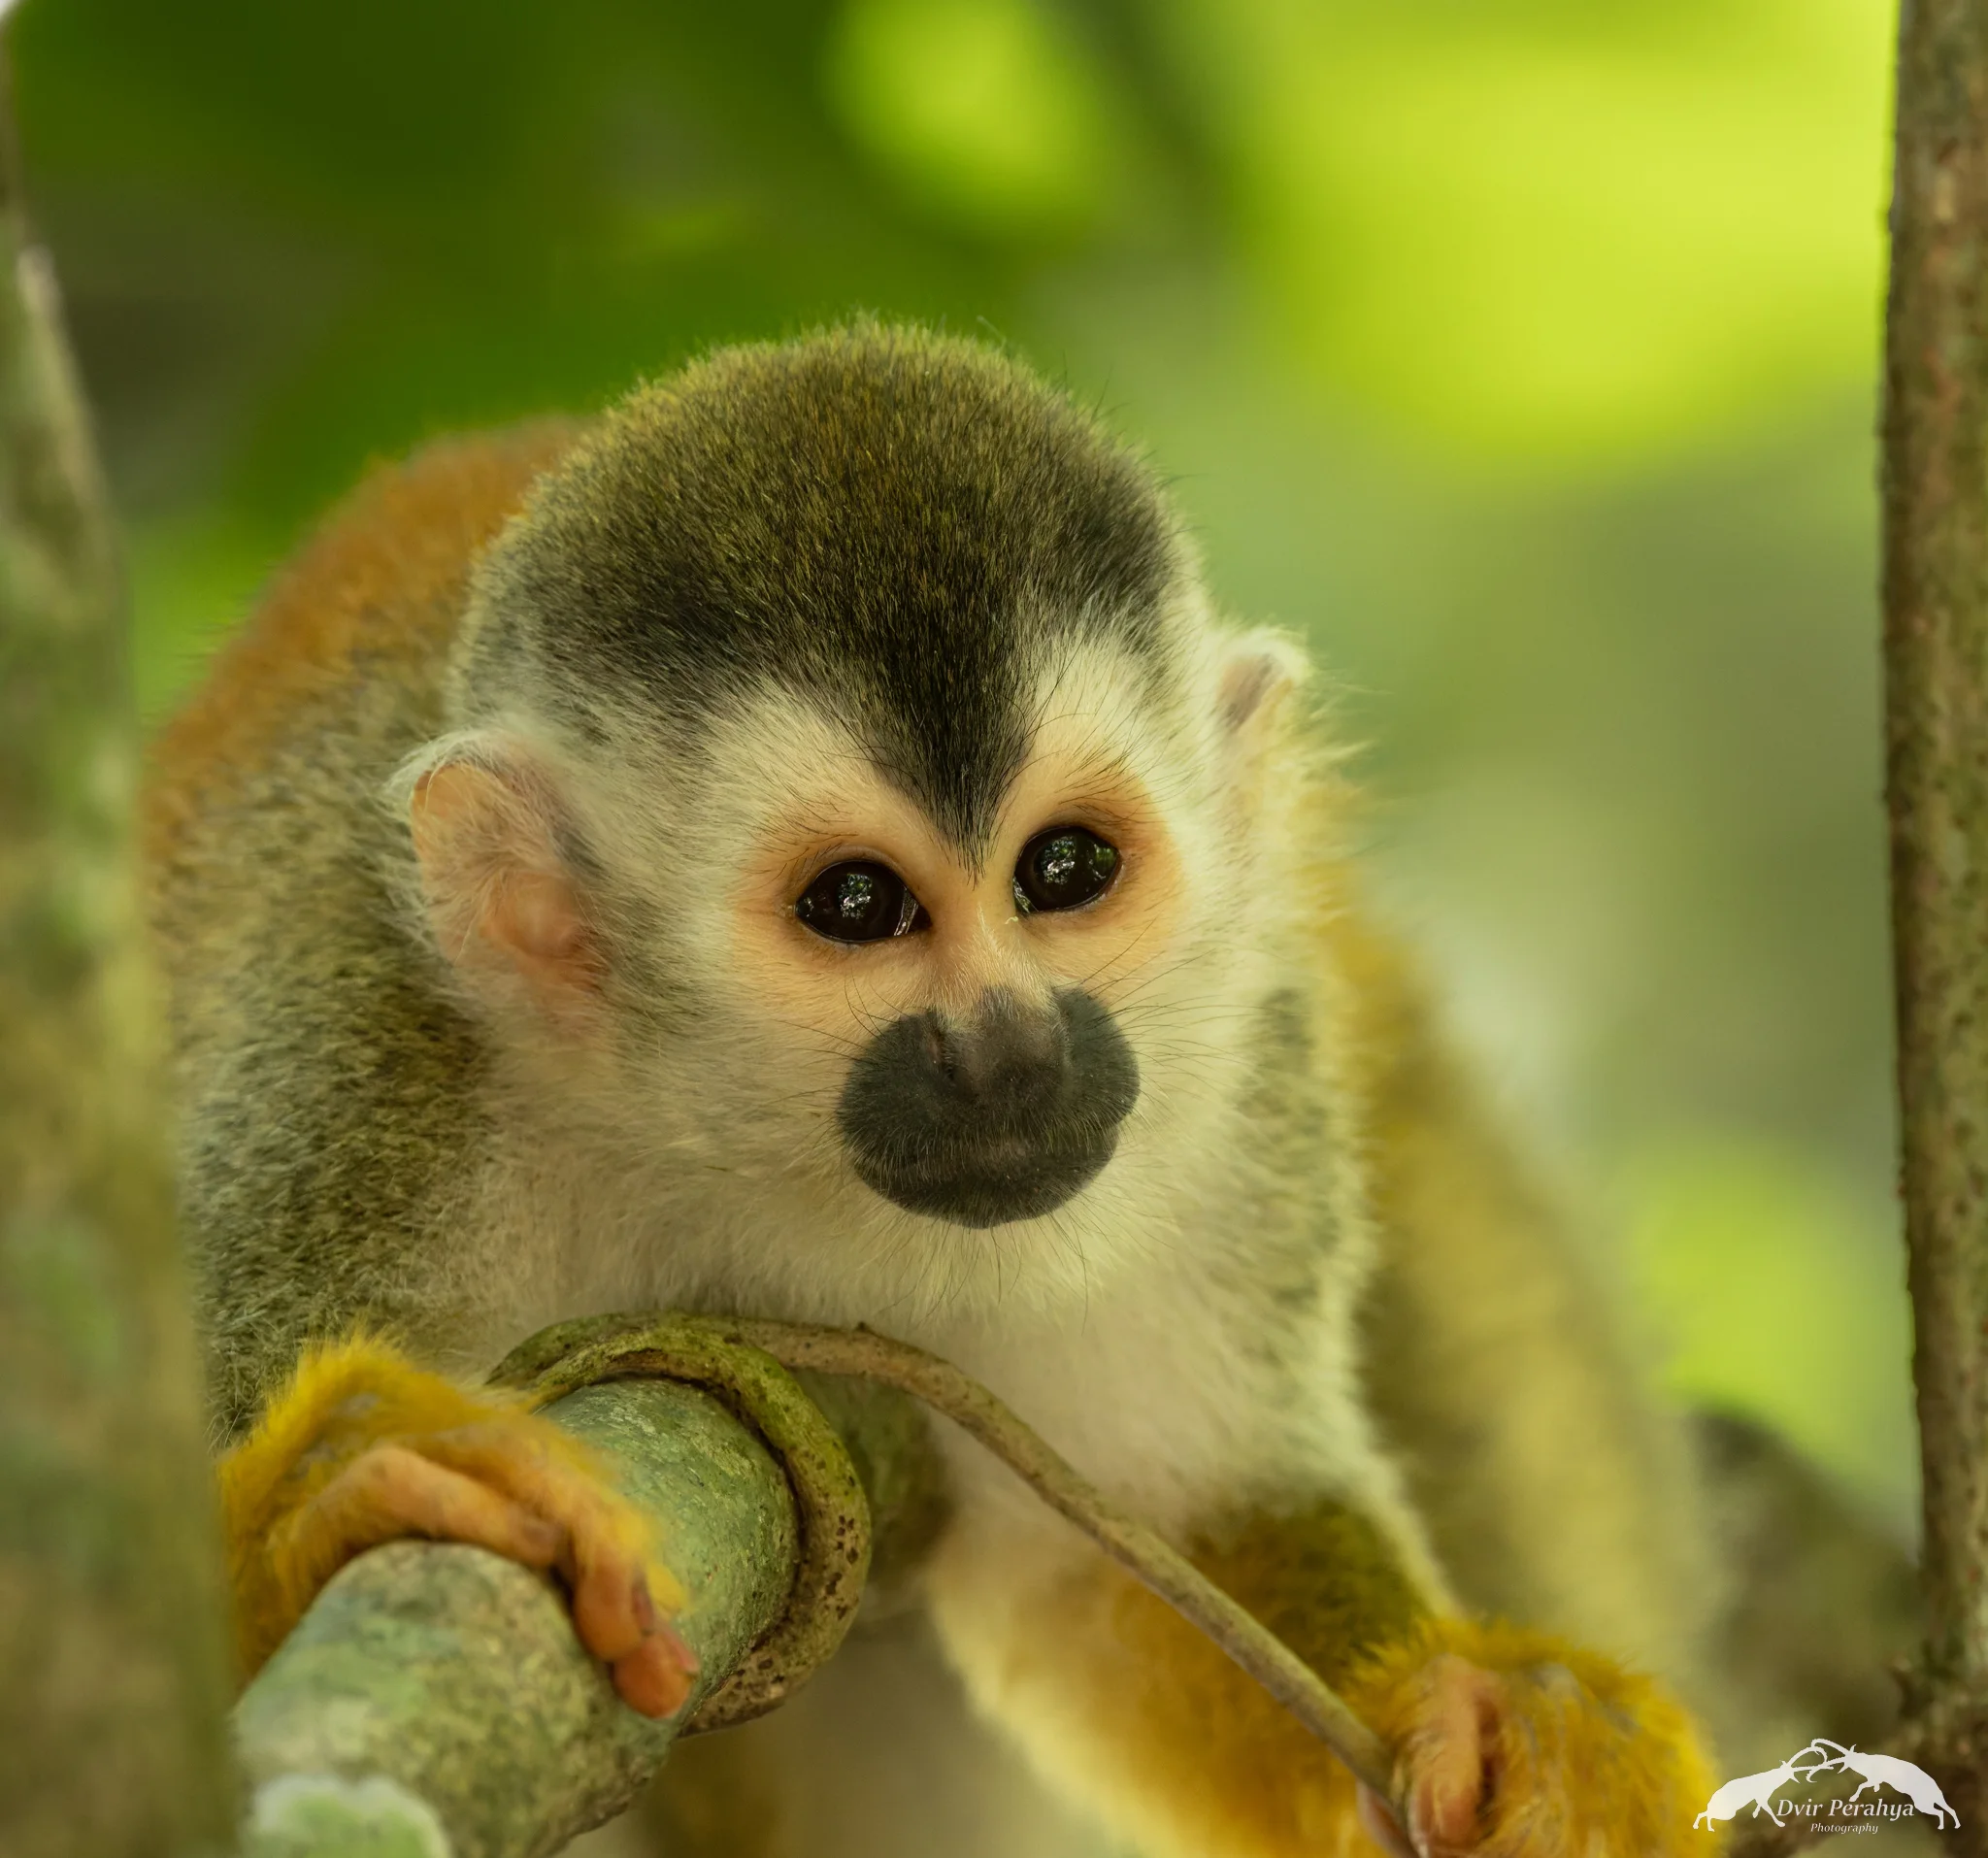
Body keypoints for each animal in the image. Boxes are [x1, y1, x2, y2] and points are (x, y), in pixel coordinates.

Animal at [143, 320, 1728, 1857]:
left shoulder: (1235, 1098)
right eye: (856, 904)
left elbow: (1165, 1532)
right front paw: (331, 1488)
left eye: (1066, 868)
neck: (723, 1148)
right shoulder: (356, 1090)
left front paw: (1497, 1717)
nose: (1013, 1046)